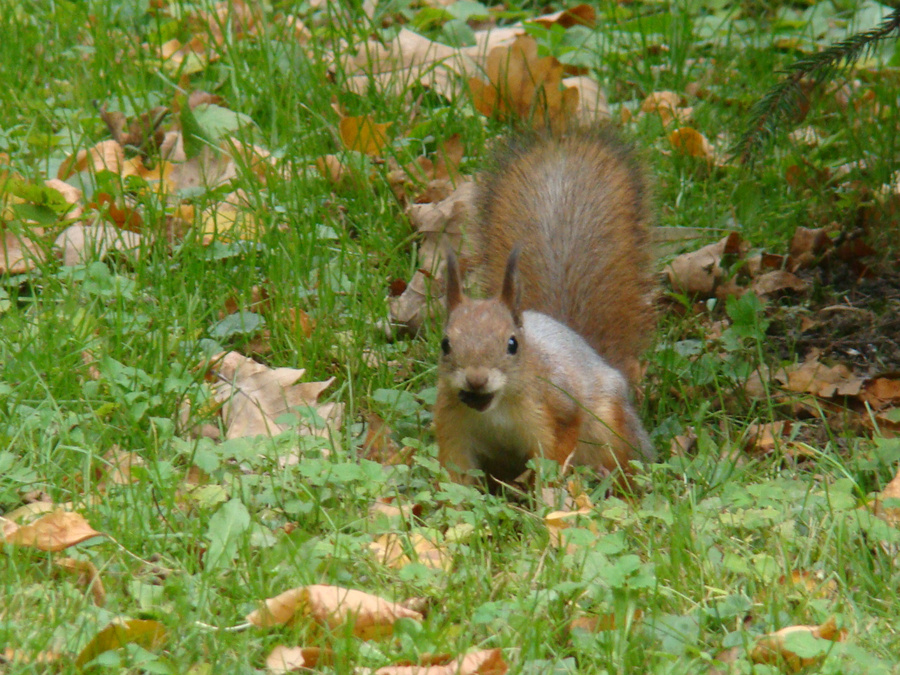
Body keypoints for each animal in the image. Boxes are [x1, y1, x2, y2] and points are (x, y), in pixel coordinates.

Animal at [434, 129, 652, 488]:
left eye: (512, 344)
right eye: (445, 344)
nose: (476, 379)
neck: (495, 407)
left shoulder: (557, 406)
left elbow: (555, 456)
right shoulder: (453, 425)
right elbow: (456, 478)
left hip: (613, 429)